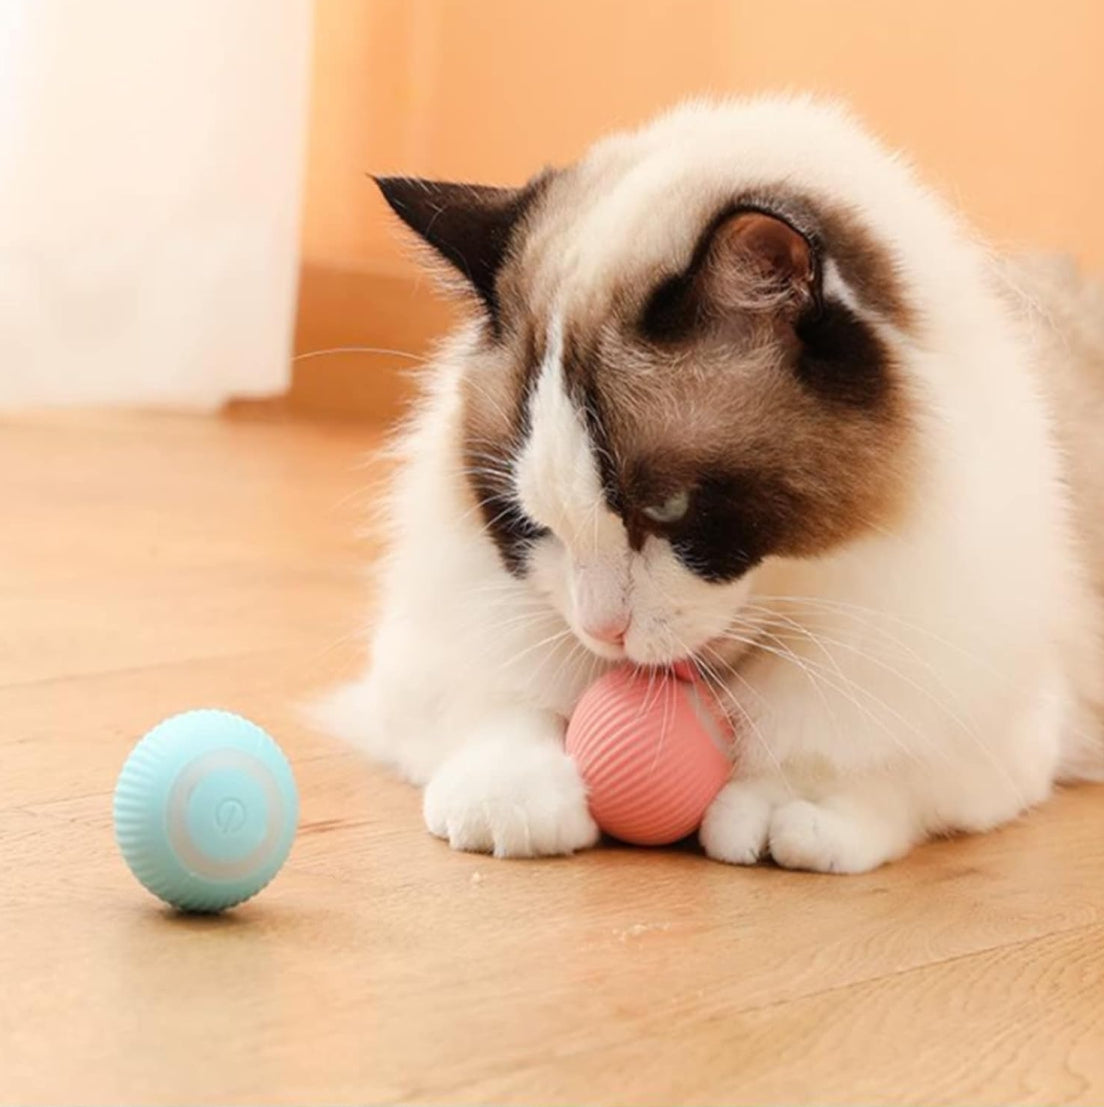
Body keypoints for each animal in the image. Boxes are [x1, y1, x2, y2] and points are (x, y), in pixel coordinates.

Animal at [316, 95, 1102, 872]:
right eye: (529, 522)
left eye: (668, 508)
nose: (603, 631)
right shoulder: (432, 663)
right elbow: (500, 712)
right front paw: (511, 803)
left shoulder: (990, 716)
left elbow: (860, 760)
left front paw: (786, 813)